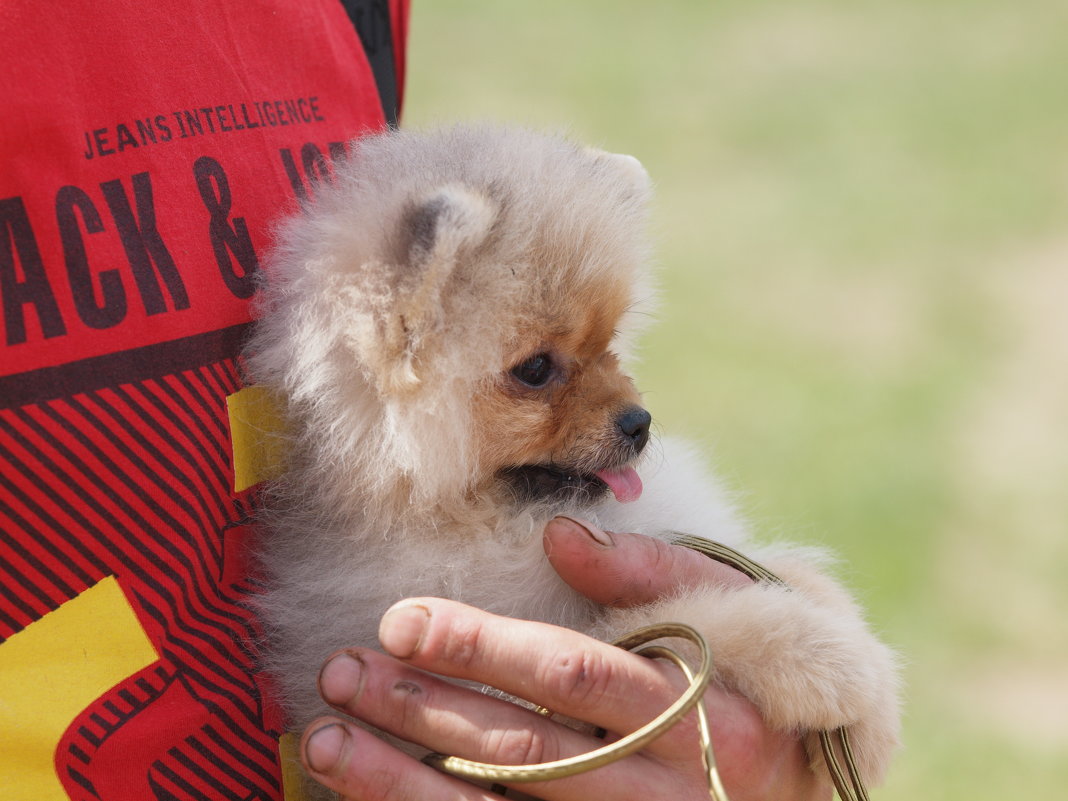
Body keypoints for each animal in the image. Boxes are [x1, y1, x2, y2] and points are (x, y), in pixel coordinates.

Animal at [247, 123, 901, 790]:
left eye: (609, 343)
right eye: (536, 369)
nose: (638, 423)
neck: (493, 522)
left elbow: (792, 575)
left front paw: (865, 715)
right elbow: (657, 623)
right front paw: (824, 660)